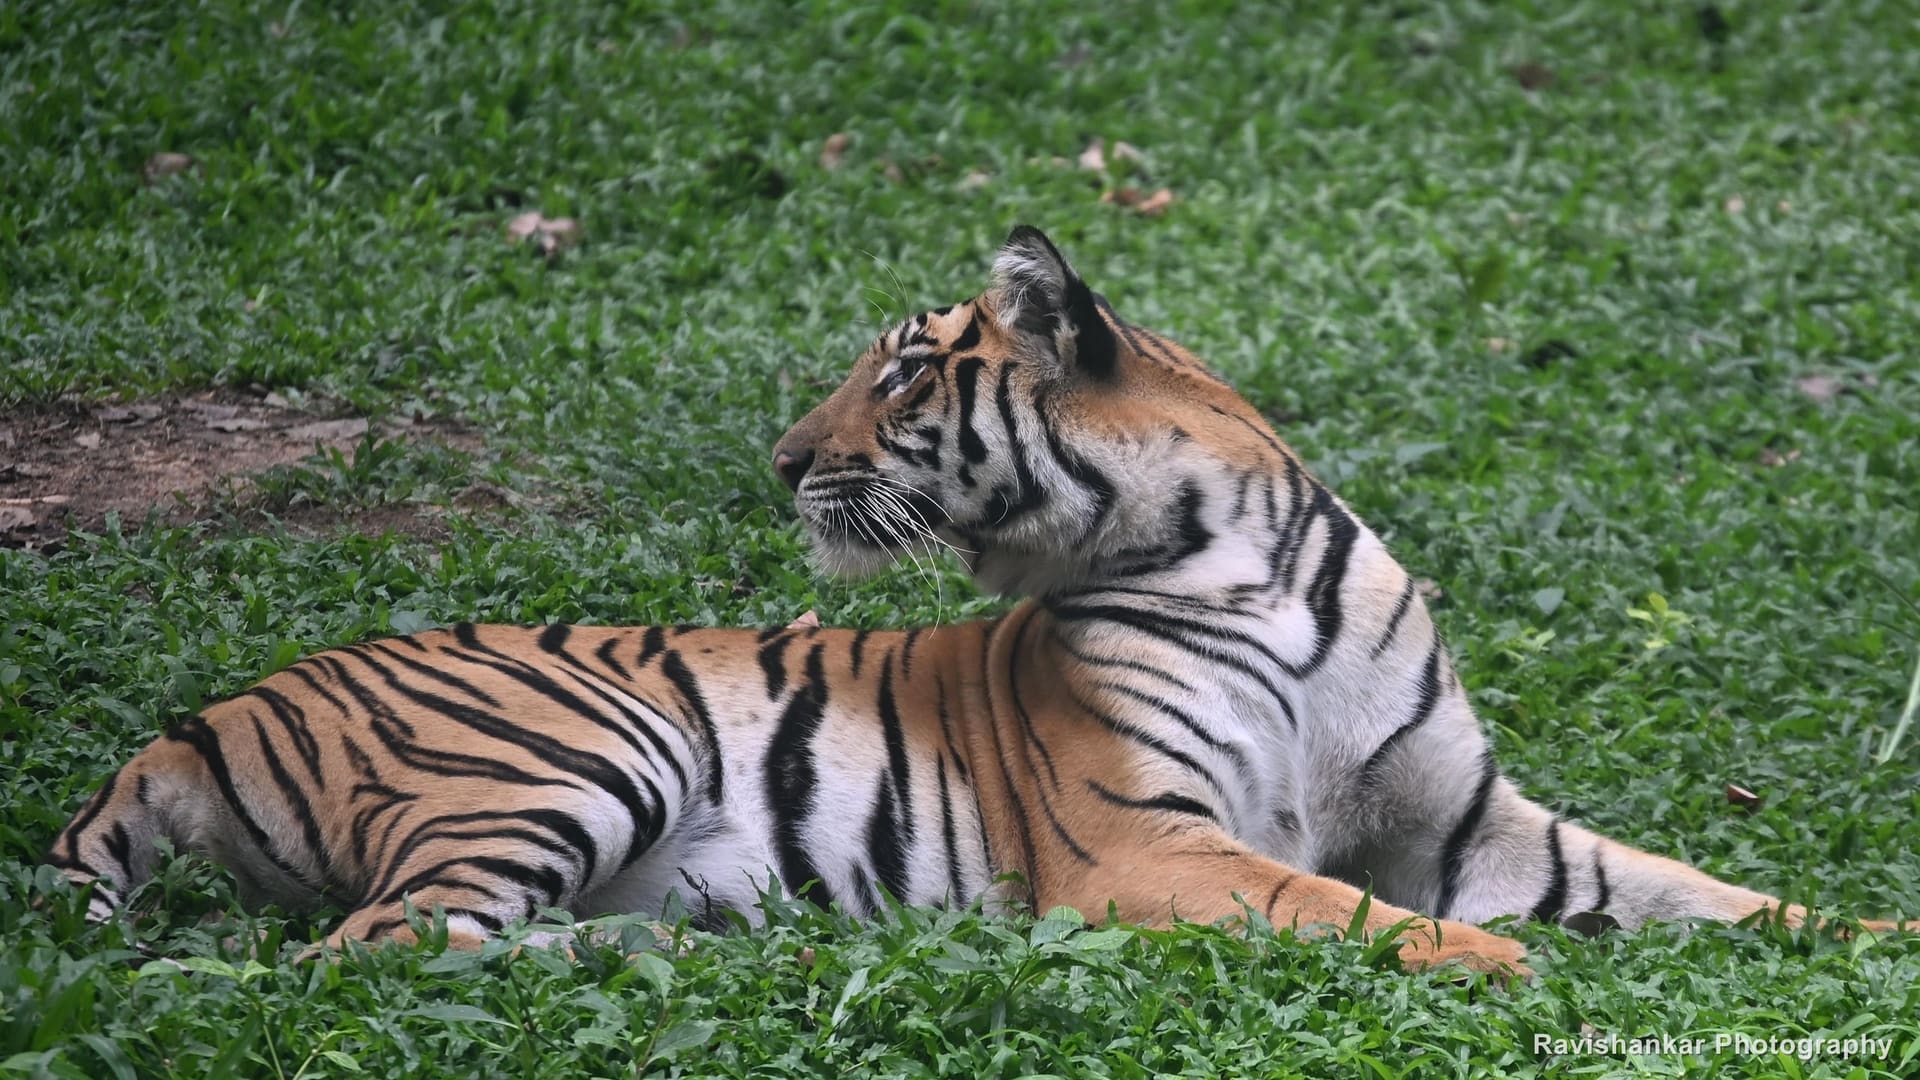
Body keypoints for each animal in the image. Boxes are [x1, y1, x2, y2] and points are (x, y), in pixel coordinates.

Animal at [47, 225, 1905, 975]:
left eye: (900, 374)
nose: (779, 460)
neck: (1243, 563)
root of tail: (195, 717)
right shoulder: (1145, 844)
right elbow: (1352, 909)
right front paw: (1509, 979)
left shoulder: (1478, 825)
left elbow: (1713, 894)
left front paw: (1874, 944)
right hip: (582, 746)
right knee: (382, 945)